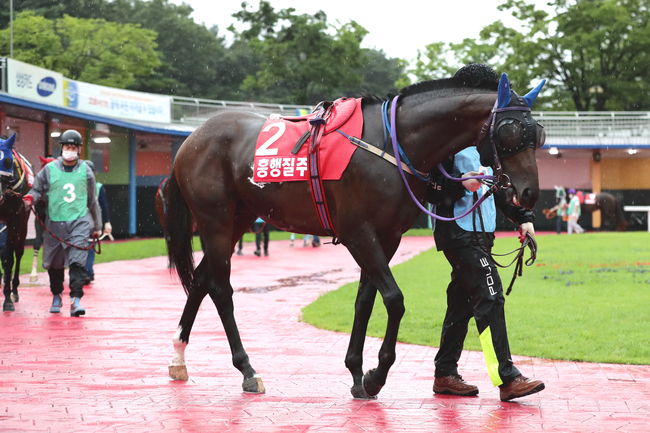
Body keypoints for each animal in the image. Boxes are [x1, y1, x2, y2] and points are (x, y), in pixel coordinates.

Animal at [161, 64, 540, 398]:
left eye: (537, 133)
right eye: (510, 131)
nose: (528, 194)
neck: (391, 141)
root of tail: (191, 140)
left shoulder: (386, 237)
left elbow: (365, 300)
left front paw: (357, 373)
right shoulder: (359, 233)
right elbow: (394, 299)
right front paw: (376, 375)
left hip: (238, 219)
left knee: (200, 280)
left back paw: (178, 358)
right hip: (216, 220)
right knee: (220, 289)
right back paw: (247, 369)